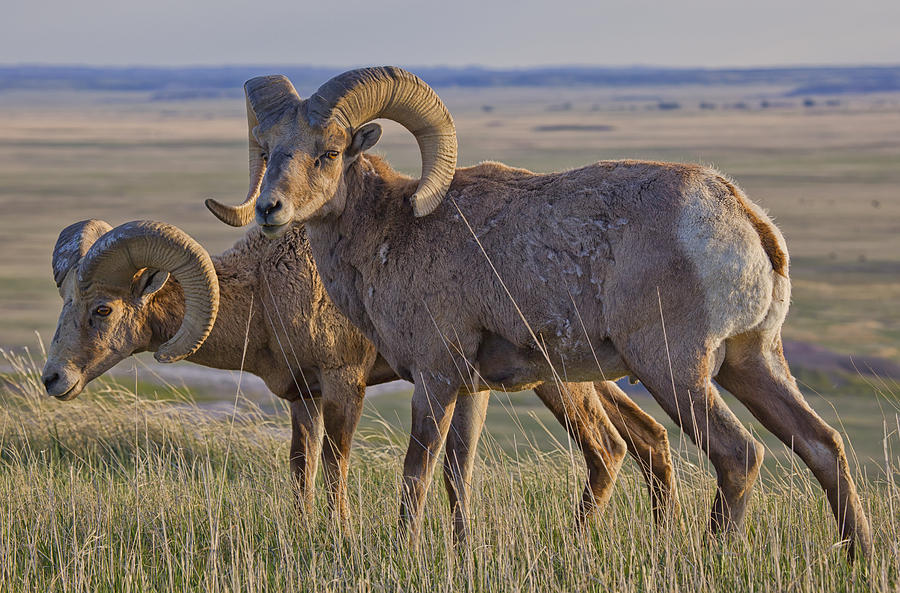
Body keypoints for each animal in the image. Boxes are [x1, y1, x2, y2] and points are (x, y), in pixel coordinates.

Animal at [42, 220, 676, 536]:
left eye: (102, 309)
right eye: (67, 300)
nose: (54, 380)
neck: (267, 288)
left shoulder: (343, 384)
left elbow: (335, 465)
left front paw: (342, 537)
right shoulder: (301, 397)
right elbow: (302, 467)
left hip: (558, 385)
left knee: (608, 449)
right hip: (586, 382)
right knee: (649, 438)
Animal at [209, 67, 872, 556]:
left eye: (329, 152)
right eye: (270, 151)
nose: (269, 209)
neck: (393, 232)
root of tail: (739, 214)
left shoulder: (435, 375)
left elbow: (416, 470)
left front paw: (403, 550)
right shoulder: (472, 389)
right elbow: (458, 473)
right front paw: (461, 551)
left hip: (673, 370)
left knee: (739, 455)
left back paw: (709, 556)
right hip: (751, 362)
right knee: (823, 446)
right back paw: (858, 556)